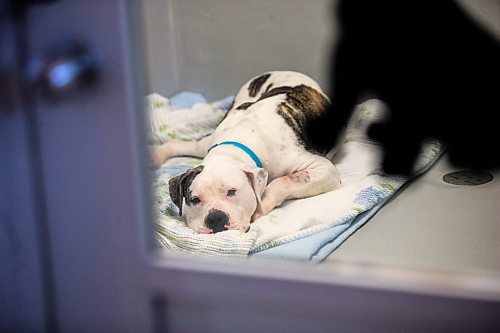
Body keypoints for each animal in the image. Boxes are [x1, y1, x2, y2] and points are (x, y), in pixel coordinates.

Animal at [150, 71, 342, 232]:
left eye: (232, 192)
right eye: (195, 200)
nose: (215, 218)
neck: (234, 148)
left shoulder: (324, 169)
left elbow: (282, 181)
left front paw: (261, 207)